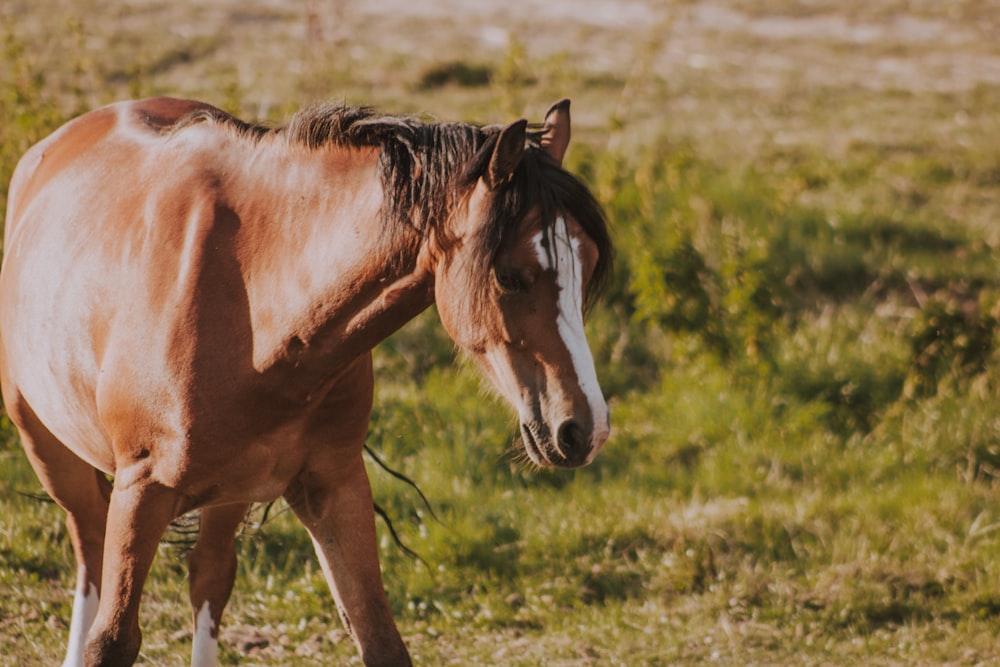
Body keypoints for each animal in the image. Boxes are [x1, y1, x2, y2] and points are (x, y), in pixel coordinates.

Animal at [0, 96, 612, 664]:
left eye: (585, 265)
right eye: (511, 277)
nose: (585, 429)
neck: (253, 312)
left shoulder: (334, 485)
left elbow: (380, 640)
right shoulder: (142, 492)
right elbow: (112, 642)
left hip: (229, 494)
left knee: (208, 579)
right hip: (50, 451)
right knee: (89, 548)